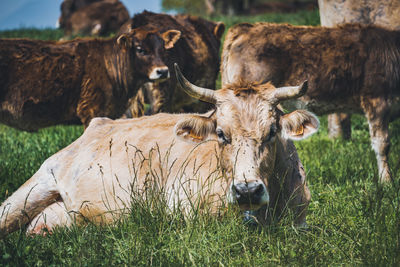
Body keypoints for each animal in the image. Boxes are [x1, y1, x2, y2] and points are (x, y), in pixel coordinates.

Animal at [0, 65, 318, 239]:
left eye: (272, 131)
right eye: (220, 133)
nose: (247, 191)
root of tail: (98, 125)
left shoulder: (301, 222)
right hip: (32, 188)